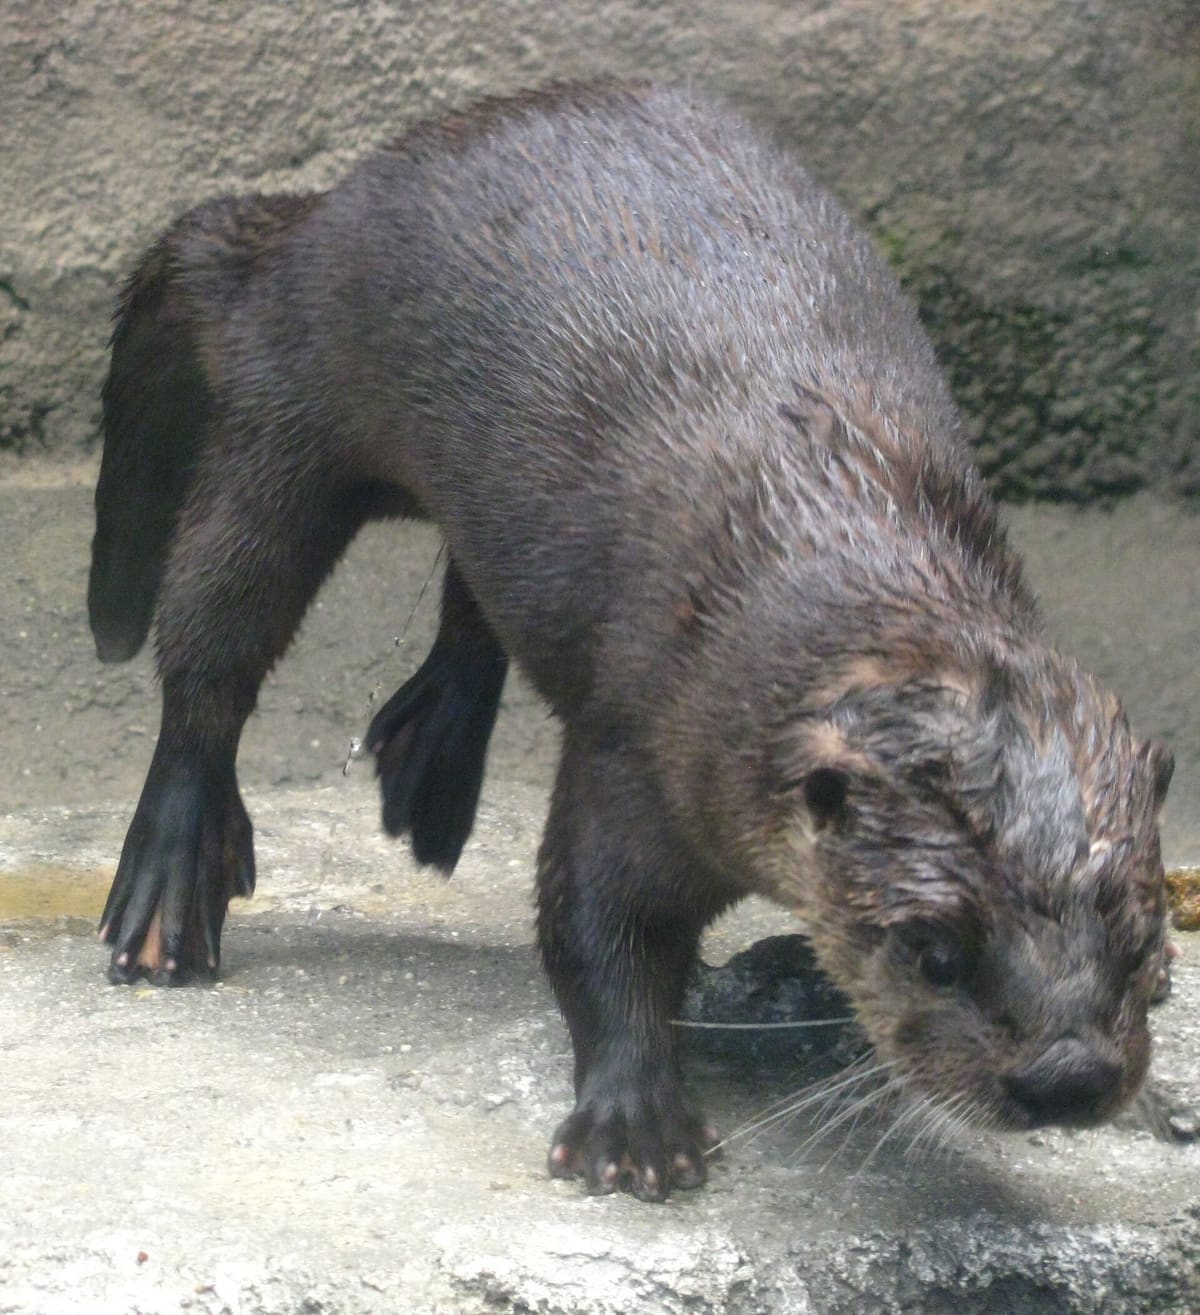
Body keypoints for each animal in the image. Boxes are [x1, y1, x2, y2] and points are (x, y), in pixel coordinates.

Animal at [89, 80, 1174, 1202]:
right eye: (934, 950)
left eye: (1146, 942)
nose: (1067, 1073)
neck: (826, 530)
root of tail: (311, 217)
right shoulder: (642, 747)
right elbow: (592, 924)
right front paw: (635, 1123)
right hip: (285, 416)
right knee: (211, 639)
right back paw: (170, 887)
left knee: (473, 593)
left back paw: (431, 768)